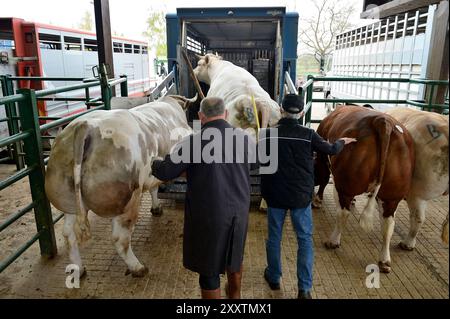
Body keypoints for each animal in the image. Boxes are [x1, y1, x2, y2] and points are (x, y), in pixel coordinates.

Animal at [45, 95, 193, 278]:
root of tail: (85, 127)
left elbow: (154, 188)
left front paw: (156, 208)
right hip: (127, 201)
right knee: (120, 238)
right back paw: (138, 268)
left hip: (67, 200)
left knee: (68, 233)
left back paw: (78, 269)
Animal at [312, 106, 414, 274]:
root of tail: (382, 121)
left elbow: (325, 179)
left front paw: (317, 200)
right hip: (392, 195)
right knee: (388, 224)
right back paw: (384, 260)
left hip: (345, 186)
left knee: (343, 213)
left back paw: (333, 241)